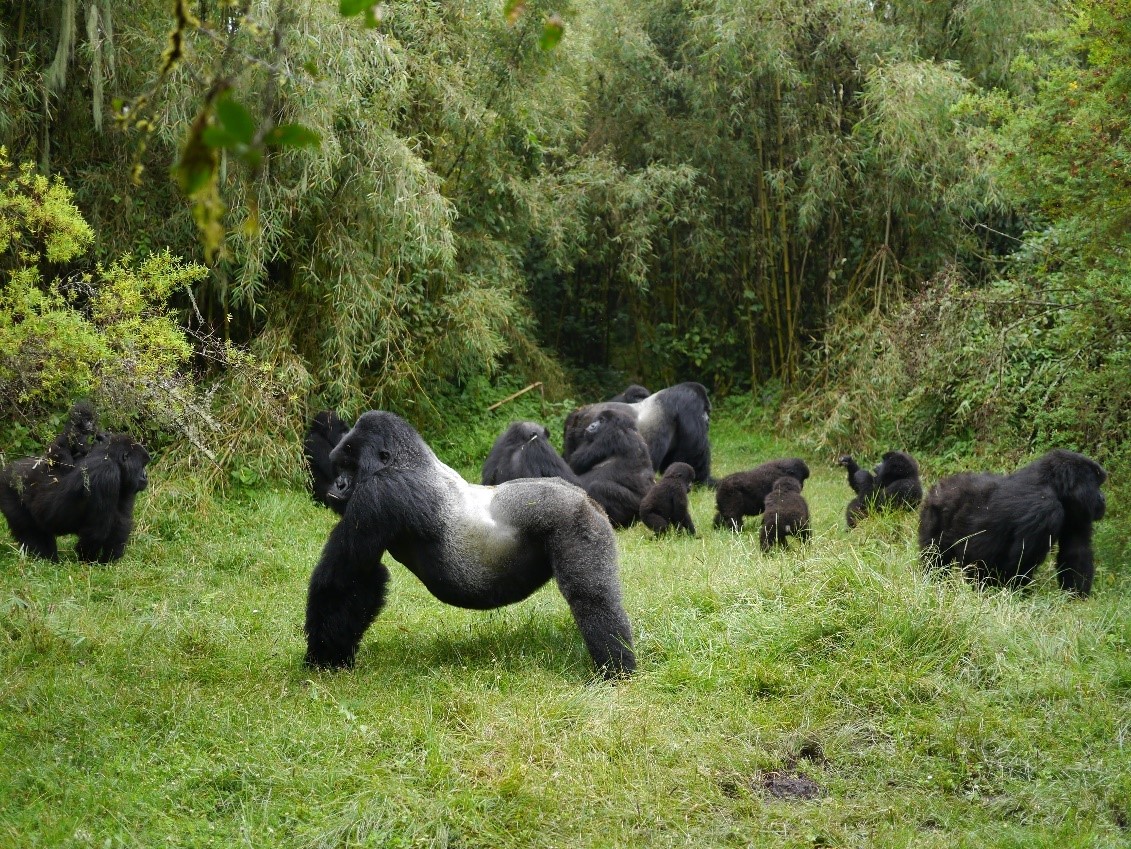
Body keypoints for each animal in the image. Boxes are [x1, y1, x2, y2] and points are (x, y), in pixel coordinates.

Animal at [0, 431, 150, 565]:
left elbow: (121, 523)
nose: (145, 476)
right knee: (29, 529)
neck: (111, 457)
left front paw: (109, 561)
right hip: (10, 489)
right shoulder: (106, 473)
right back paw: (46, 560)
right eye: (142, 465)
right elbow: (97, 531)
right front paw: (88, 561)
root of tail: (9, 469)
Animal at [300, 411, 637, 678]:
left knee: (590, 597)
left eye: (350, 467)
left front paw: (322, 661)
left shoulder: (379, 495)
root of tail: (587, 498)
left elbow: (344, 579)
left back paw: (616, 667)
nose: (338, 485)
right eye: (339, 466)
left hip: (577, 521)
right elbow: (362, 580)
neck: (409, 461)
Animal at [565, 384, 714, 488]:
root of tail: (579, 413)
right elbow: (693, 454)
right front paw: (707, 482)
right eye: (706, 410)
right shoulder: (691, 402)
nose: (708, 420)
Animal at [918, 447, 1103, 592]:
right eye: (1096, 484)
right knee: (936, 557)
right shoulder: (1045, 510)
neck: (1052, 484)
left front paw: (1076, 598)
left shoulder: (1076, 510)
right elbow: (1019, 563)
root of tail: (942, 485)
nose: (1102, 498)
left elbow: (1076, 550)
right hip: (935, 509)